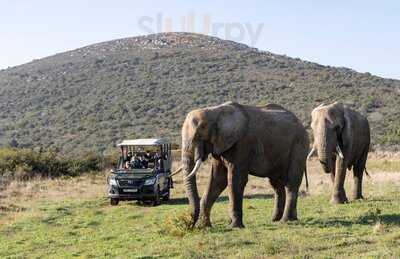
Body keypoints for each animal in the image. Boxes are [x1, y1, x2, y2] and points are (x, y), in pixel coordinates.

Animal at [181, 102, 310, 229]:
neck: (214, 111)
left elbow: (235, 180)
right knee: (276, 185)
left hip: (299, 147)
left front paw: (234, 227)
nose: (189, 225)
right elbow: (217, 180)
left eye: (198, 137)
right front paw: (204, 226)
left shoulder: (242, 144)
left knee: (291, 182)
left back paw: (286, 221)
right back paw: (277, 219)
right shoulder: (220, 145)